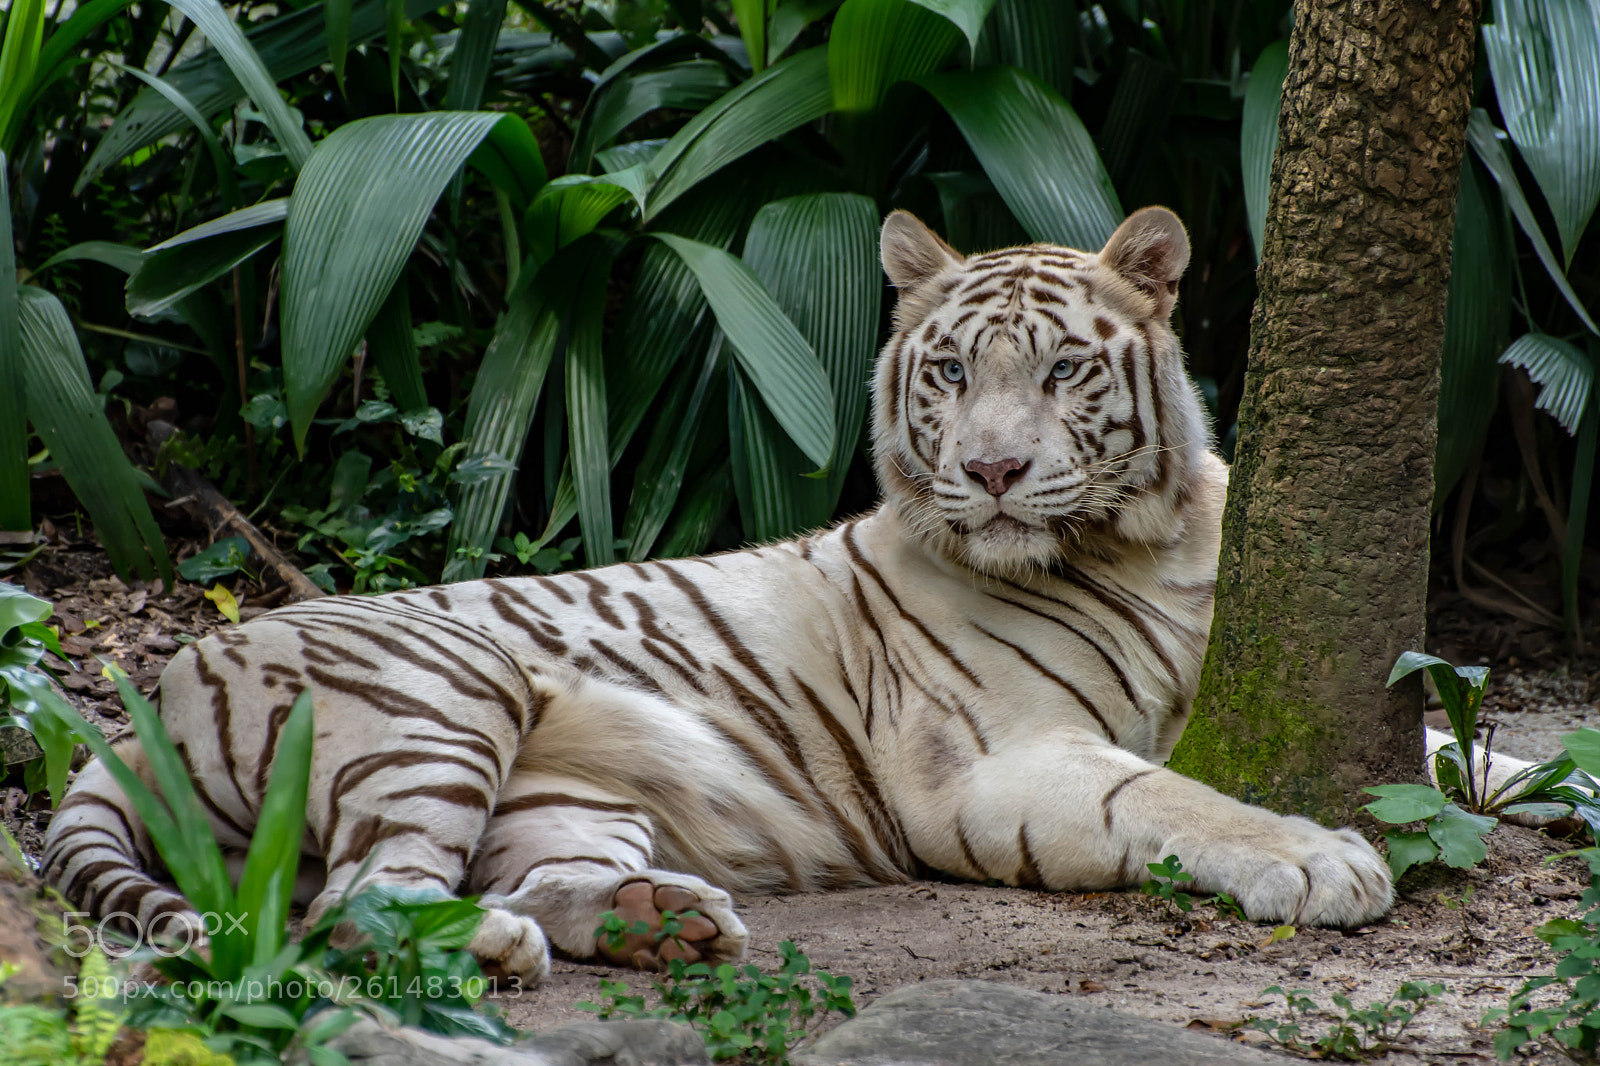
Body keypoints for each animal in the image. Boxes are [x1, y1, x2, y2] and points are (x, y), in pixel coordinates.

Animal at [43, 206, 1395, 985]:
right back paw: (501, 948)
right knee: (350, 904)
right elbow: (1168, 793)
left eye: (1063, 367)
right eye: (952, 373)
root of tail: (154, 687)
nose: (992, 471)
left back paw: (658, 919)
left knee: (491, 876)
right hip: (437, 701)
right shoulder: (992, 765)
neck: (1149, 543)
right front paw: (1321, 858)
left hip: (566, 795)